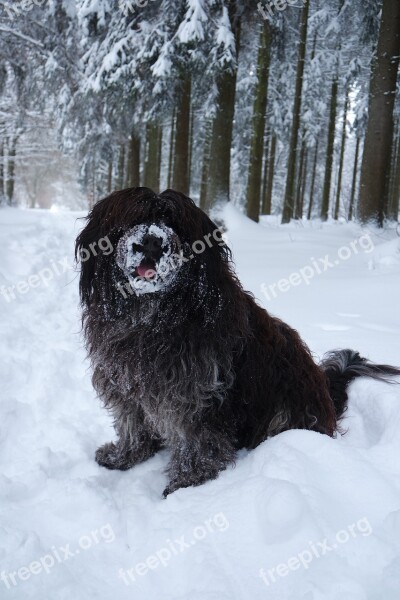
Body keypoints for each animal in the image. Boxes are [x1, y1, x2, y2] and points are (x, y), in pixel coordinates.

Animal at [76, 188, 400, 496]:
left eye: (173, 222)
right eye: (134, 218)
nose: (151, 243)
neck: (153, 315)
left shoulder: (197, 392)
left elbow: (195, 438)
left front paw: (188, 480)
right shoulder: (126, 382)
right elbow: (132, 422)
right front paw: (124, 457)